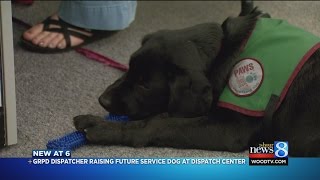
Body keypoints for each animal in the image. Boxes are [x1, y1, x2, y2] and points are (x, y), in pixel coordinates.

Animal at [73, 1, 320, 156]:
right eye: (130, 66)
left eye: (145, 84)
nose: (102, 100)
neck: (225, 49)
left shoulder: (231, 129)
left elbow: (158, 123)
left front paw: (102, 127)